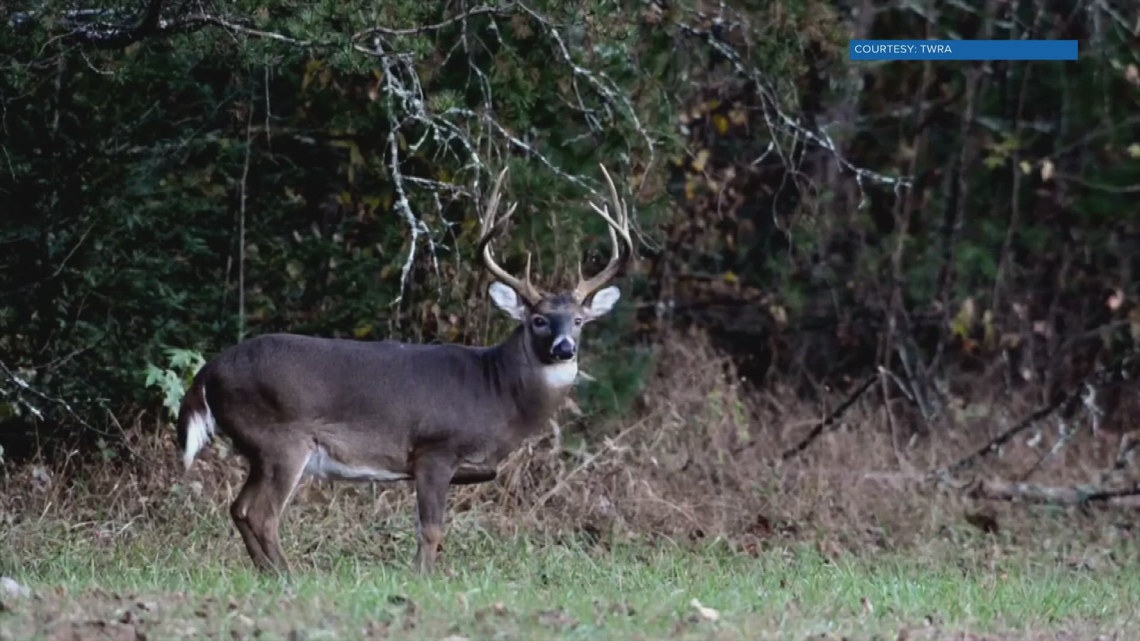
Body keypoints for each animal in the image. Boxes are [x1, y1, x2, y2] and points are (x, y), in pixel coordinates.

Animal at [175, 164, 634, 576]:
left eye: (579, 320)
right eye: (537, 320)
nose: (563, 348)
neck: (498, 393)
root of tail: (207, 373)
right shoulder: (434, 450)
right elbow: (430, 530)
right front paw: (421, 580)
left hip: (259, 448)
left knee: (239, 508)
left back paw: (271, 574)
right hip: (280, 439)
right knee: (261, 513)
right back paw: (291, 576)